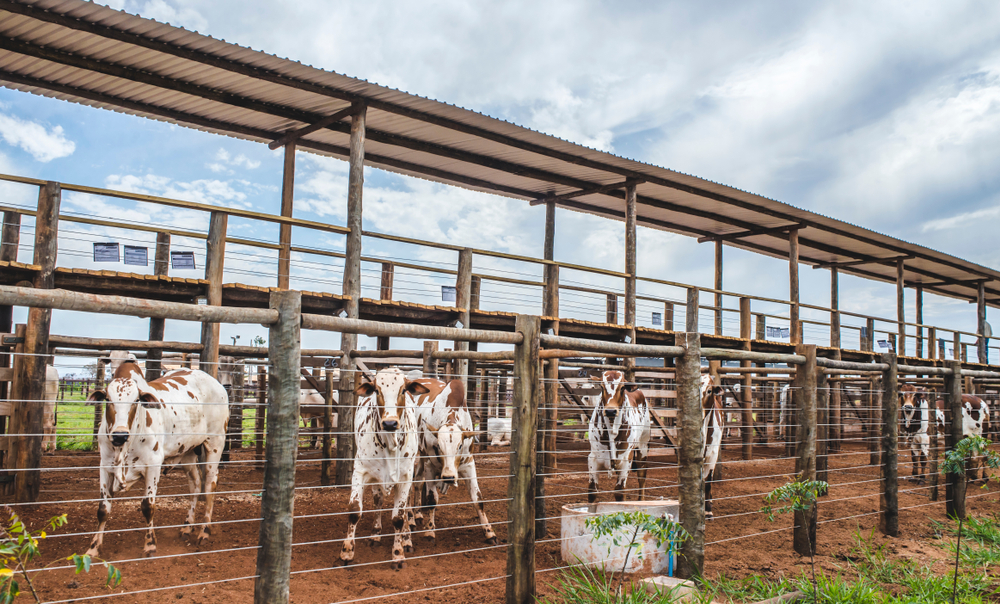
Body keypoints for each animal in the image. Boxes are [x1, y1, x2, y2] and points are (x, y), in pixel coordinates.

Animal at [84, 358, 229, 556]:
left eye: (136, 400)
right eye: (108, 399)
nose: (120, 435)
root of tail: (217, 384)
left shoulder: (153, 466)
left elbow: (148, 506)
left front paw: (150, 544)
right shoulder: (105, 467)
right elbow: (103, 509)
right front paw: (93, 548)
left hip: (215, 443)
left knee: (209, 486)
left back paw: (204, 531)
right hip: (187, 452)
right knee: (195, 485)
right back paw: (187, 526)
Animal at [342, 368, 428, 572]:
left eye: (403, 390)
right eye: (376, 390)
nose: (390, 423)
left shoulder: (406, 477)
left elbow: (398, 517)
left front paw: (398, 554)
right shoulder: (360, 471)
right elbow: (354, 510)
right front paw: (347, 552)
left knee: (407, 507)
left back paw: (407, 539)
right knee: (378, 500)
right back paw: (376, 533)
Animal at [410, 378, 496, 544]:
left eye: (460, 445)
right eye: (439, 446)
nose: (449, 477)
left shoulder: (469, 464)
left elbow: (478, 499)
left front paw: (489, 532)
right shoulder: (431, 466)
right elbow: (432, 499)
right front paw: (430, 530)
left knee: (417, 481)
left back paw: (417, 514)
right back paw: (410, 519)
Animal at [584, 370, 652, 502]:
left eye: (622, 388)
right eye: (602, 387)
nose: (611, 411)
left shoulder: (626, 460)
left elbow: (619, 492)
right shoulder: (593, 459)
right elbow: (592, 491)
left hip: (643, 446)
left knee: (642, 475)